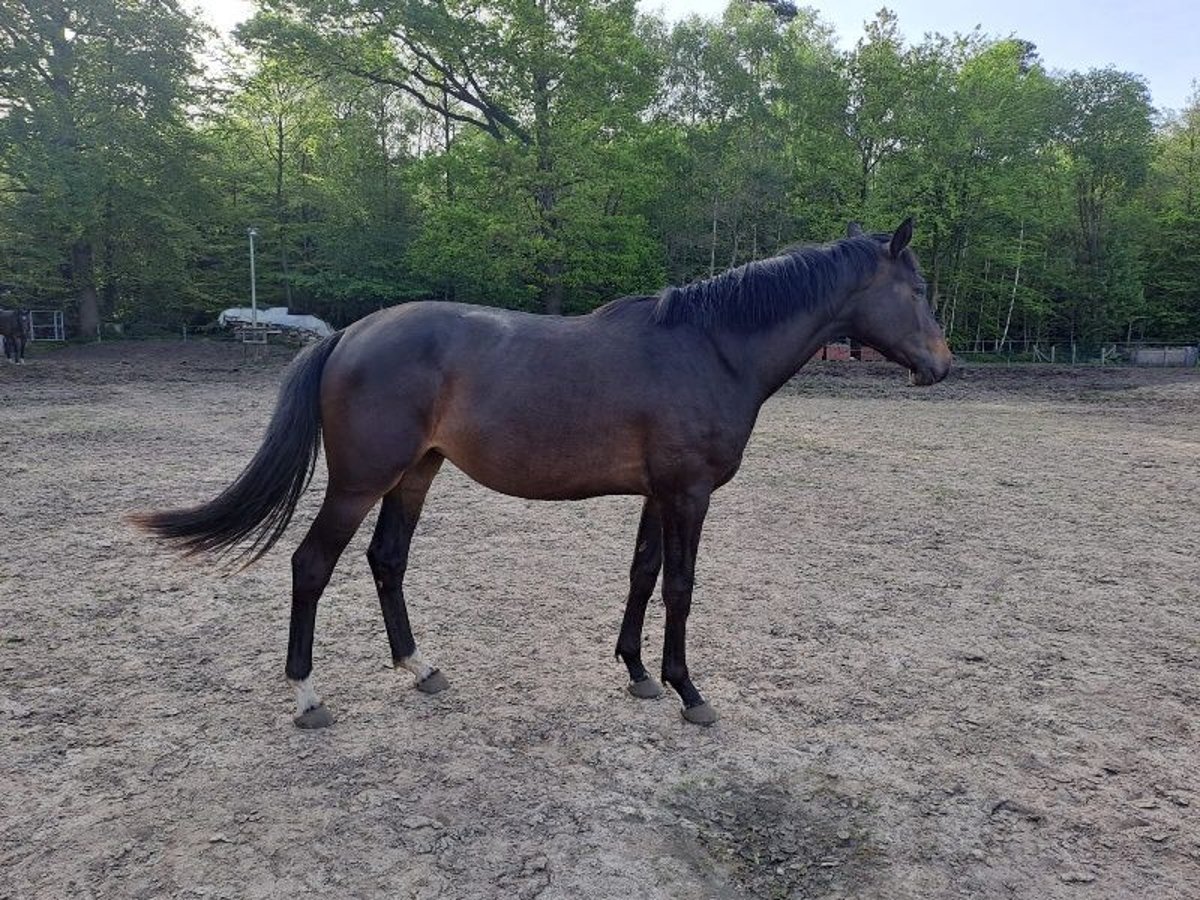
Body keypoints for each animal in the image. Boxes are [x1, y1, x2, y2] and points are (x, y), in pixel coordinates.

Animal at [131, 220, 950, 734]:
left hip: (415, 475)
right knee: (311, 565)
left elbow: (643, 574)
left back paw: (420, 668)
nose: (943, 366)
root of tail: (347, 335)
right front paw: (688, 690)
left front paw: (637, 672)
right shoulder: (687, 495)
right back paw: (307, 697)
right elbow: (681, 588)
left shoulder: (657, 494)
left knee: (386, 561)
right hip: (361, 482)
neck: (711, 349)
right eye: (917, 291)